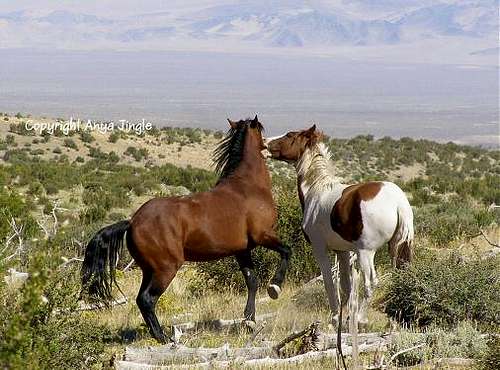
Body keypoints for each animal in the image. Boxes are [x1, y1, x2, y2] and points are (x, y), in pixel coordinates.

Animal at [81, 116, 292, 344]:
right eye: (261, 130)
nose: (270, 146)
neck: (248, 186)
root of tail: (132, 221)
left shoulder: (242, 250)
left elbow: (252, 281)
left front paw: (250, 321)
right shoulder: (263, 235)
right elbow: (287, 251)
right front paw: (275, 288)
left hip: (149, 270)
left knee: (140, 299)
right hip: (166, 268)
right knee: (147, 300)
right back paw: (164, 338)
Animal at [266, 125, 414, 326]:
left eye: (290, 135)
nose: (264, 143)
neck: (317, 190)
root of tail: (398, 201)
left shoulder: (320, 248)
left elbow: (329, 282)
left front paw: (336, 317)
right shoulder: (342, 251)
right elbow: (346, 285)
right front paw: (345, 318)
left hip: (366, 253)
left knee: (370, 283)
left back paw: (360, 318)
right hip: (395, 249)